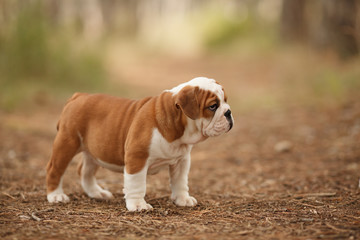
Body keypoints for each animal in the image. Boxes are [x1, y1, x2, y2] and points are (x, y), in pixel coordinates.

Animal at [45, 77, 233, 210]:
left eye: (225, 101)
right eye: (213, 106)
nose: (229, 112)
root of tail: (79, 96)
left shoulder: (182, 161)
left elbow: (180, 182)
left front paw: (183, 199)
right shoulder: (137, 157)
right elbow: (137, 184)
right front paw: (138, 205)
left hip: (93, 152)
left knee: (85, 171)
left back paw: (97, 193)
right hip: (67, 143)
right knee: (55, 169)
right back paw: (56, 196)